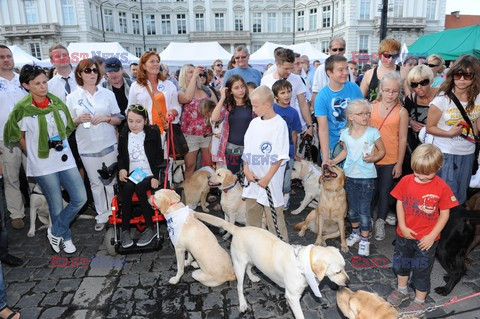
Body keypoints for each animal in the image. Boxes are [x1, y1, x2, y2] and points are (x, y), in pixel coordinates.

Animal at [193, 212, 346, 319]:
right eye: (337, 272)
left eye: (345, 267)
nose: (348, 281)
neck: (301, 264)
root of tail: (238, 229)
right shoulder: (292, 296)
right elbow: (299, 315)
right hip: (239, 265)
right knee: (239, 286)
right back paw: (242, 304)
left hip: (253, 259)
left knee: (249, 268)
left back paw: (253, 277)